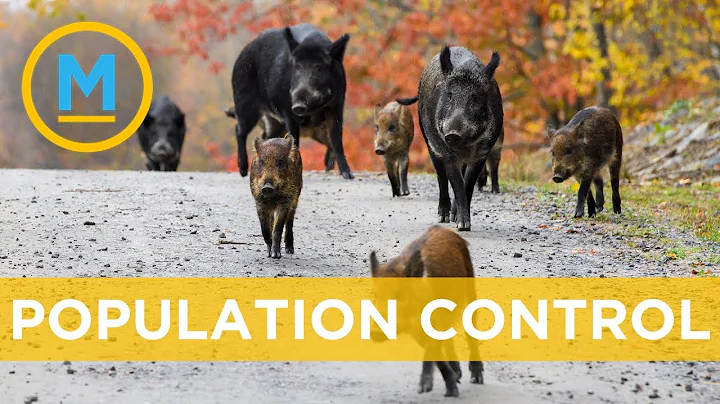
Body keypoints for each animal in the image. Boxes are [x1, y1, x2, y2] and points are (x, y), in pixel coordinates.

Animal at [230, 23, 354, 179]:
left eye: (319, 67)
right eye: (297, 67)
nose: (298, 105)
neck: (315, 109)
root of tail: (242, 53)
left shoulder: (337, 108)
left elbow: (337, 140)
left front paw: (348, 175)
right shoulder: (288, 113)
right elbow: (295, 141)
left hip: (273, 121)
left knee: (266, 136)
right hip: (244, 104)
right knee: (239, 130)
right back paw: (243, 171)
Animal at [369, 225, 484, 397]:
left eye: (399, 295)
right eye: (375, 295)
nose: (374, 332)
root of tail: (443, 229)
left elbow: (432, 350)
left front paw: (424, 389)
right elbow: (439, 358)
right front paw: (450, 389)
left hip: (470, 285)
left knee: (471, 329)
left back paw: (476, 378)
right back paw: (457, 374)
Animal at [397, 47, 503, 231]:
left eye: (475, 97)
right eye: (449, 96)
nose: (452, 134)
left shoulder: (482, 153)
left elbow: (467, 184)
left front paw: (463, 224)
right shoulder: (447, 153)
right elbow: (457, 183)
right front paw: (462, 225)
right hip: (429, 142)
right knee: (441, 177)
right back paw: (444, 217)